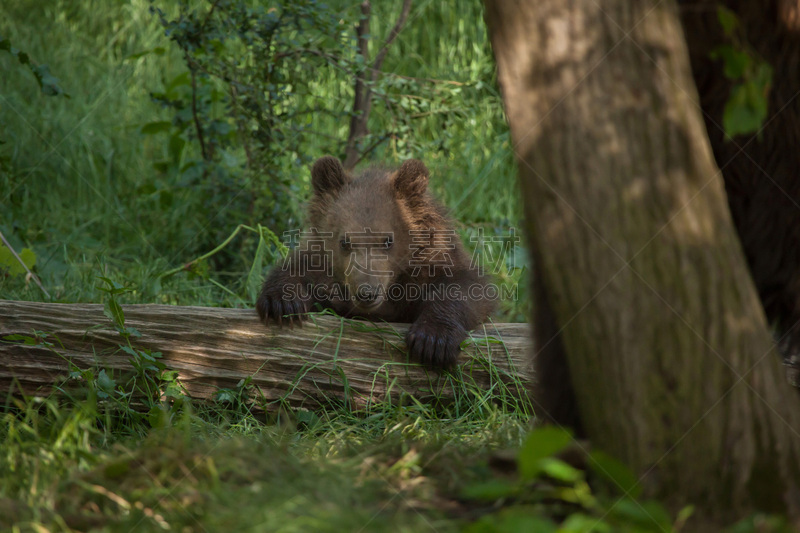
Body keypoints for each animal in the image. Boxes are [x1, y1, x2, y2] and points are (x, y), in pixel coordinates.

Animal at [256, 156, 494, 368]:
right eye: (344, 242)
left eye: (388, 240)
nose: (367, 292)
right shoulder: (321, 263)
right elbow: (297, 269)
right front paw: (282, 302)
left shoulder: (435, 263)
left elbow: (467, 288)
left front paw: (433, 341)